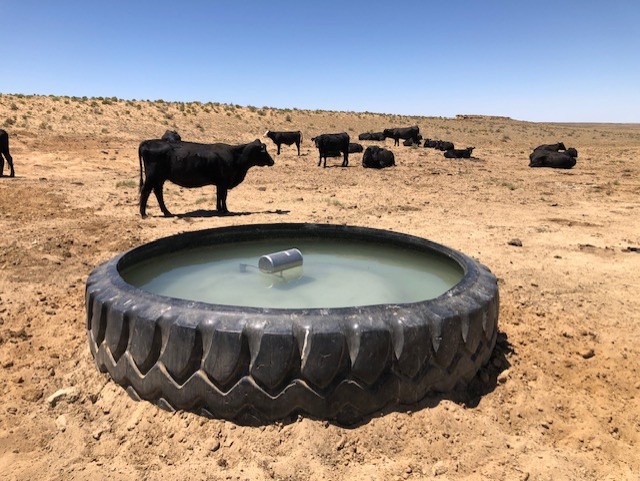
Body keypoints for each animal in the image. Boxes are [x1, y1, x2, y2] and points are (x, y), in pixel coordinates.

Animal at [138, 138, 274, 217]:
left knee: (158, 192)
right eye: (263, 151)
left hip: (159, 178)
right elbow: (224, 196)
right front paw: (225, 210)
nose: (272, 161)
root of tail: (148, 142)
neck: (235, 156)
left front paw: (219, 209)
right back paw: (144, 214)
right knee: (146, 191)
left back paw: (167, 212)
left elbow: (219, 195)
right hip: (152, 176)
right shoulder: (224, 182)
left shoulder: (219, 183)